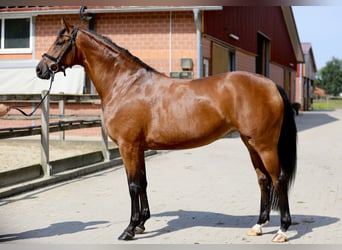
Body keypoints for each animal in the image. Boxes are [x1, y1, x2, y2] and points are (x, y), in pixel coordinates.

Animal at [36, 19, 296, 242]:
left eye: (60, 41)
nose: (40, 69)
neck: (126, 84)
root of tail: (271, 84)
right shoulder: (138, 148)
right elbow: (143, 182)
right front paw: (141, 224)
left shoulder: (128, 147)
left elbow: (132, 185)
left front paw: (129, 229)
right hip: (250, 143)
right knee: (263, 180)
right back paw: (258, 225)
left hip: (265, 145)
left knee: (278, 179)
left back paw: (282, 230)